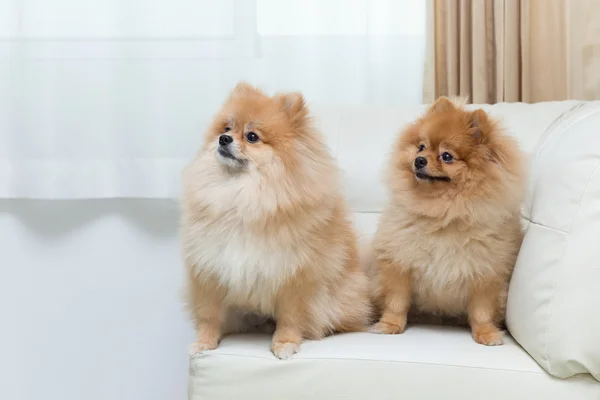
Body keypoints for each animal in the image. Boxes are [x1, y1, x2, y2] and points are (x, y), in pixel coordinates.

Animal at [180, 82, 372, 360]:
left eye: (252, 136)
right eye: (226, 129)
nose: (223, 139)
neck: (243, 197)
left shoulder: (294, 275)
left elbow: (291, 317)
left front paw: (284, 343)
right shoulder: (210, 270)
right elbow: (209, 315)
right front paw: (204, 343)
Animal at [370, 96, 524, 344]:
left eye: (447, 156)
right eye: (421, 147)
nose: (419, 160)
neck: (444, 213)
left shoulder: (486, 272)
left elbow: (482, 310)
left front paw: (486, 333)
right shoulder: (400, 262)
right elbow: (396, 301)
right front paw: (389, 325)